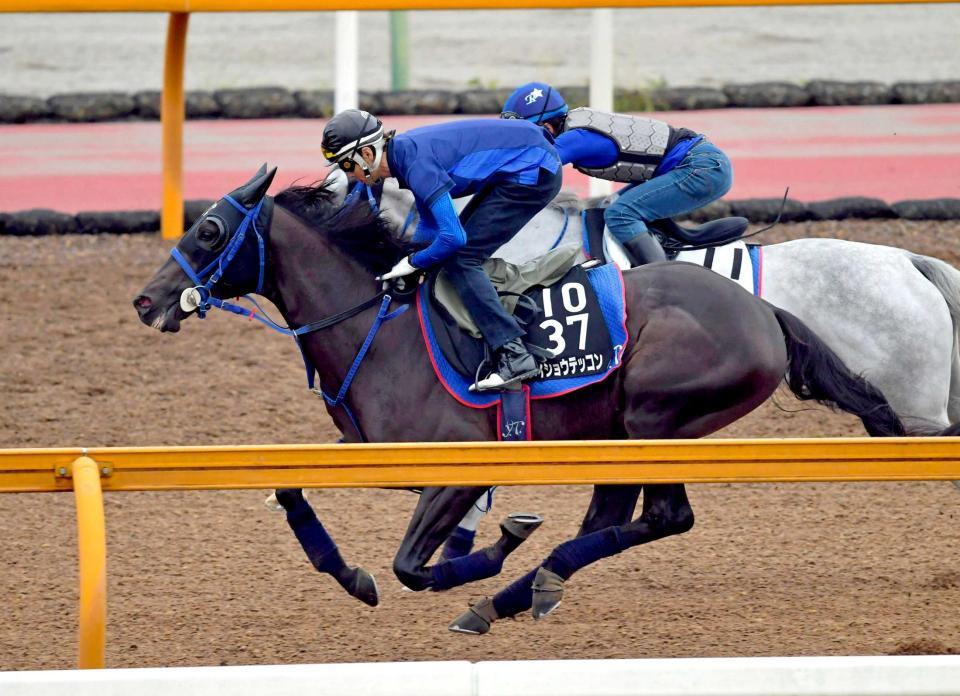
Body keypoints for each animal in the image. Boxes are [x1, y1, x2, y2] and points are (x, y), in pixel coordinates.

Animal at [133, 166, 924, 632]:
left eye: (209, 229)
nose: (146, 300)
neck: (379, 330)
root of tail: (763, 311)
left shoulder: (460, 466)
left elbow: (412, 565)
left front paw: (494, 546)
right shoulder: (371, 456)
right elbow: (291, 488)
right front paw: (352, 576)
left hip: (652, 418)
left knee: (664, 517)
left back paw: (509, 588)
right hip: (615, 432)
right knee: (615, 517)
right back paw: (520, 592)